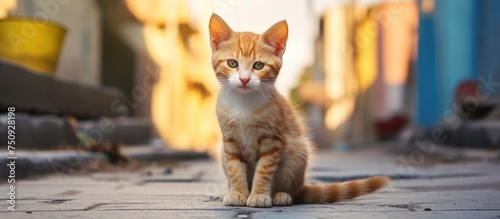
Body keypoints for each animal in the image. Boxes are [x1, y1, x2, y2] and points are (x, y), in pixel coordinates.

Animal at [208, 12, 390, 208]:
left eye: (258, 66)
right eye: (232, 63)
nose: (244, 79)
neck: (243, 104)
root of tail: (301, 185)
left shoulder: (273, 141)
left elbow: (264, 170)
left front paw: (259, 195)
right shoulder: (230, 142)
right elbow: (234, 168)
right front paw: (238, 193)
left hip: (298, 151)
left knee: (294, 192)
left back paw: (282, 195)